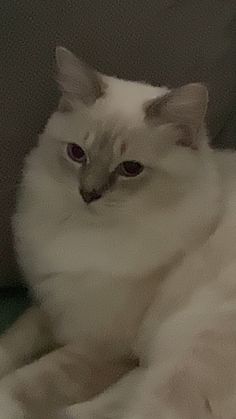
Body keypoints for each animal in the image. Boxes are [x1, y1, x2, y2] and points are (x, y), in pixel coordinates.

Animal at [0, 47, 236, 418]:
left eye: (130, 169)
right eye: (76, 154)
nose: (88, 194)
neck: (88, 235)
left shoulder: (99, 349)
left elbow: (28, 382)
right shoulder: (51, 309)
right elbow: (11, 345)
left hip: (184, 360)